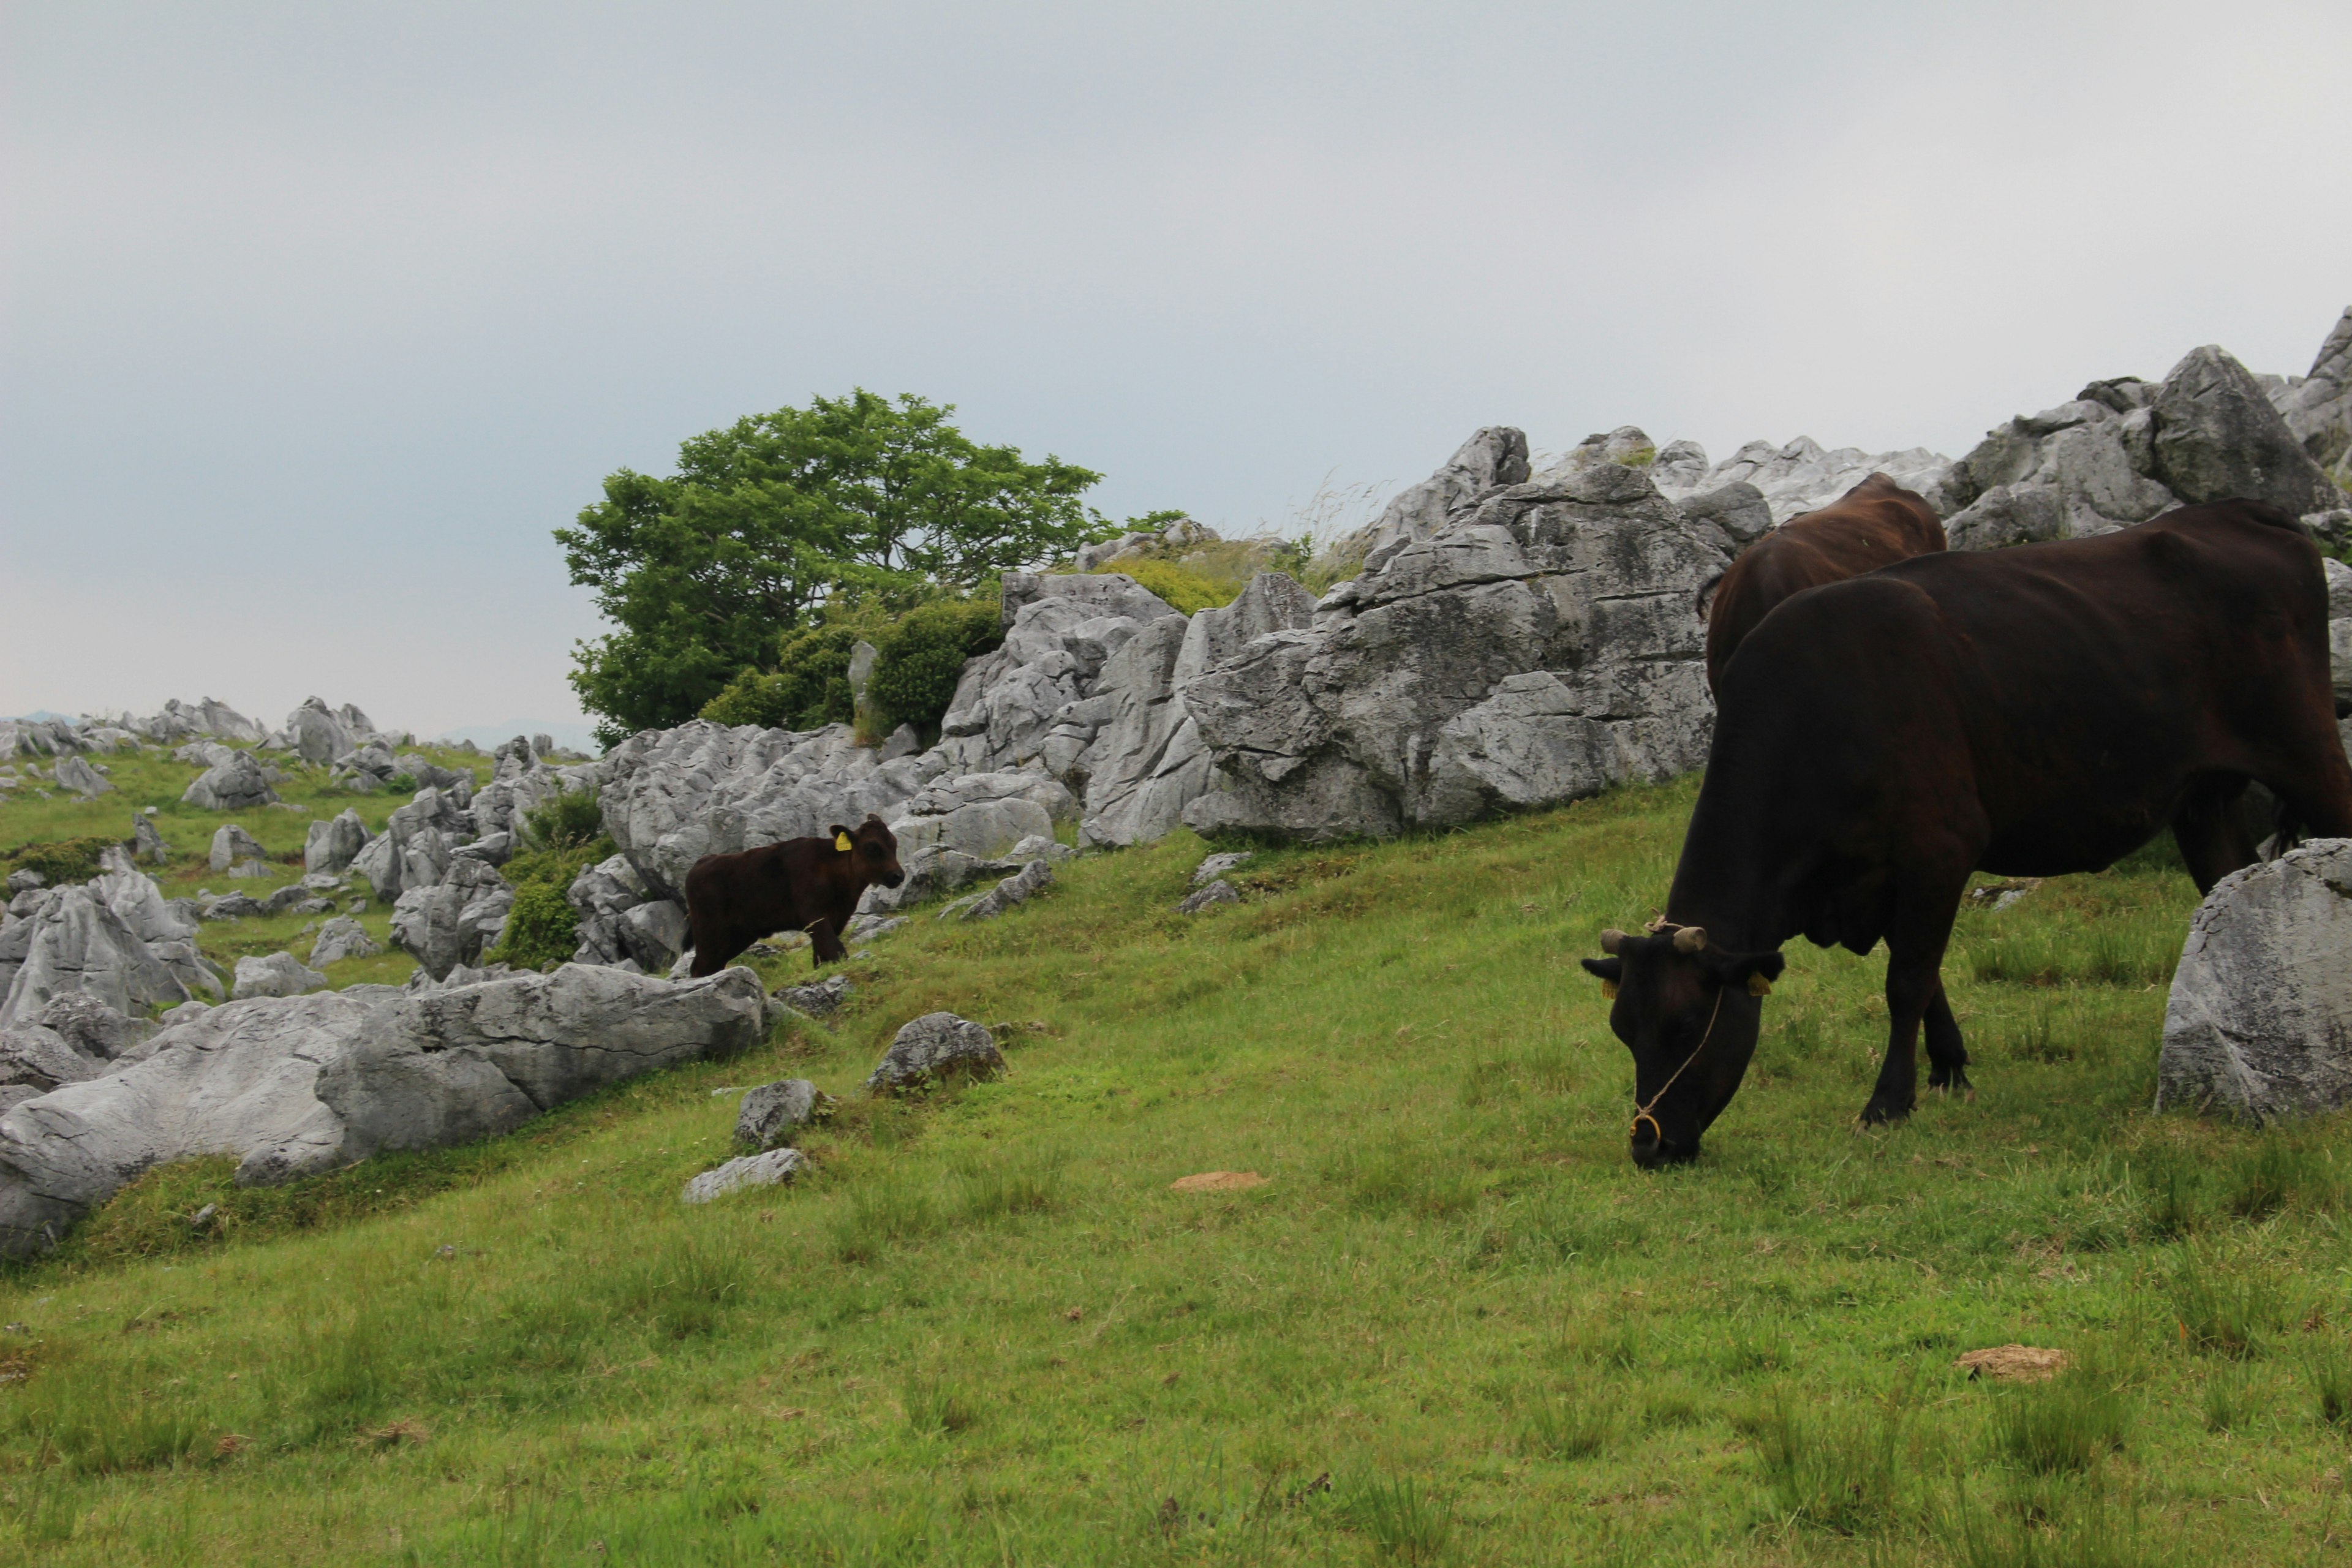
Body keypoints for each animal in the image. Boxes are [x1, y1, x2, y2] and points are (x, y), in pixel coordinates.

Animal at [687, 818, 903, 973]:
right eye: (871, 847)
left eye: (894, 843)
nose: (898, 875)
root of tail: (701, 863)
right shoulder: (814, 916)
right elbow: (836, 951)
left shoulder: (834, 920)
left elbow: (821, 958)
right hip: (709, 932)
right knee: (700, 967)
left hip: (738, 936)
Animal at [1580, 500, 2352, 1166]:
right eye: (1622, 1031)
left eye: (1685, 1026)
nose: (1647, 1144)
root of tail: (2238, 510)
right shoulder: (1884, 874)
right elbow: (1927, 976)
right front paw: (1949, 1068)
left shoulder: (1939, 847)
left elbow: (1908, 979)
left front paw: (1888, 1102)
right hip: (2203, 798)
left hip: (2310, 753)